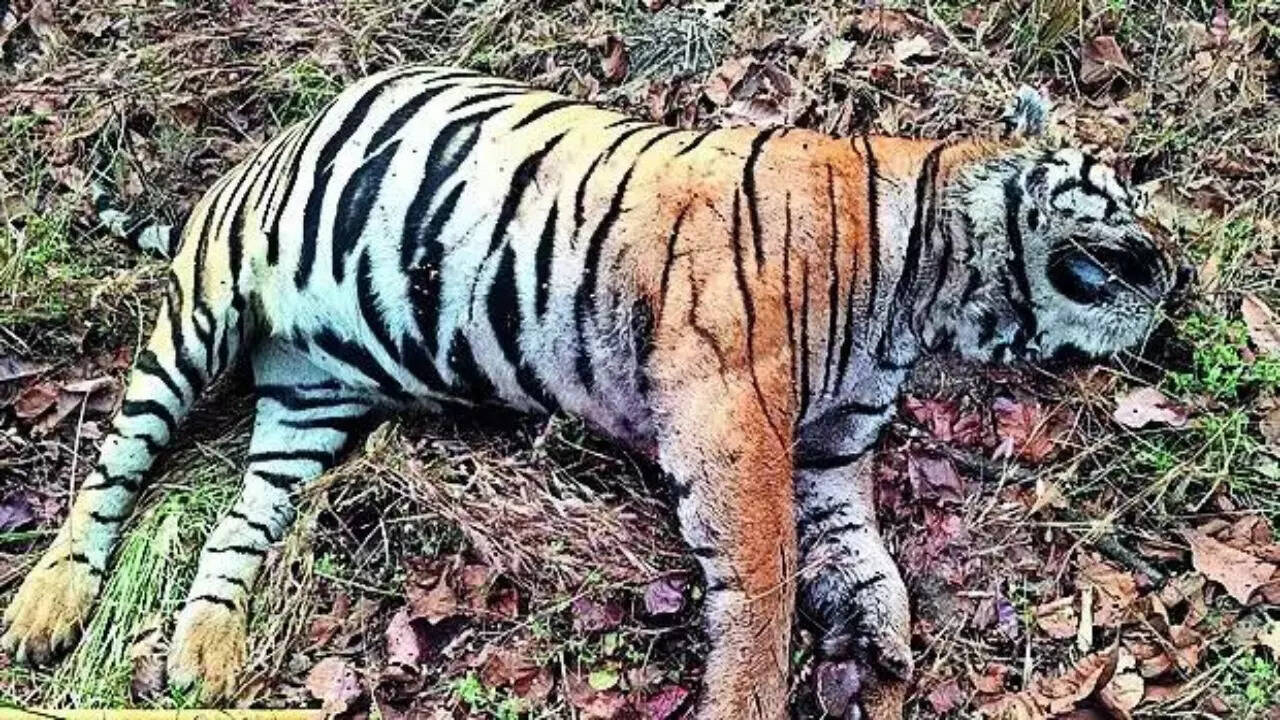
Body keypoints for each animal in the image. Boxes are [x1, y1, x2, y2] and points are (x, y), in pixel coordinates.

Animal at [1, 66, 1188, 718]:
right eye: (1118, 195)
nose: (1177, 280)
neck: (926, 296)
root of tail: (274, 137)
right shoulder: (730, 413)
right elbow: (762, 582)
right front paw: (748, 698)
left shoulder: (829, 448)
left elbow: (858, 549)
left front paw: (883, 638)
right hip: (204, 313)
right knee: (116, 467)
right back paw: (47, 608)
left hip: (312, 400)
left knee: (241, 518)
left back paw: (202, 652)